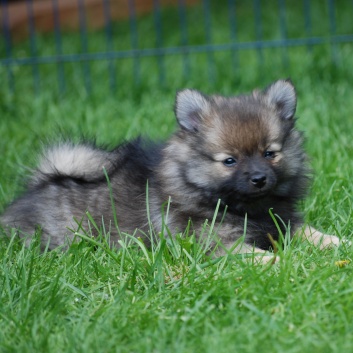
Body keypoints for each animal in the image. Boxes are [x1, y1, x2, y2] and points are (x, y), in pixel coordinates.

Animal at [0, 79, 338, 256]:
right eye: (229, 160)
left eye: (270, 153)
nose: (259, 178)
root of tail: (40, 184)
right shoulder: (218, 245)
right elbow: (262, 257)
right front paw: (288, 265)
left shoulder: (284, 223)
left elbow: (314, 233)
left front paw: (339, 244)